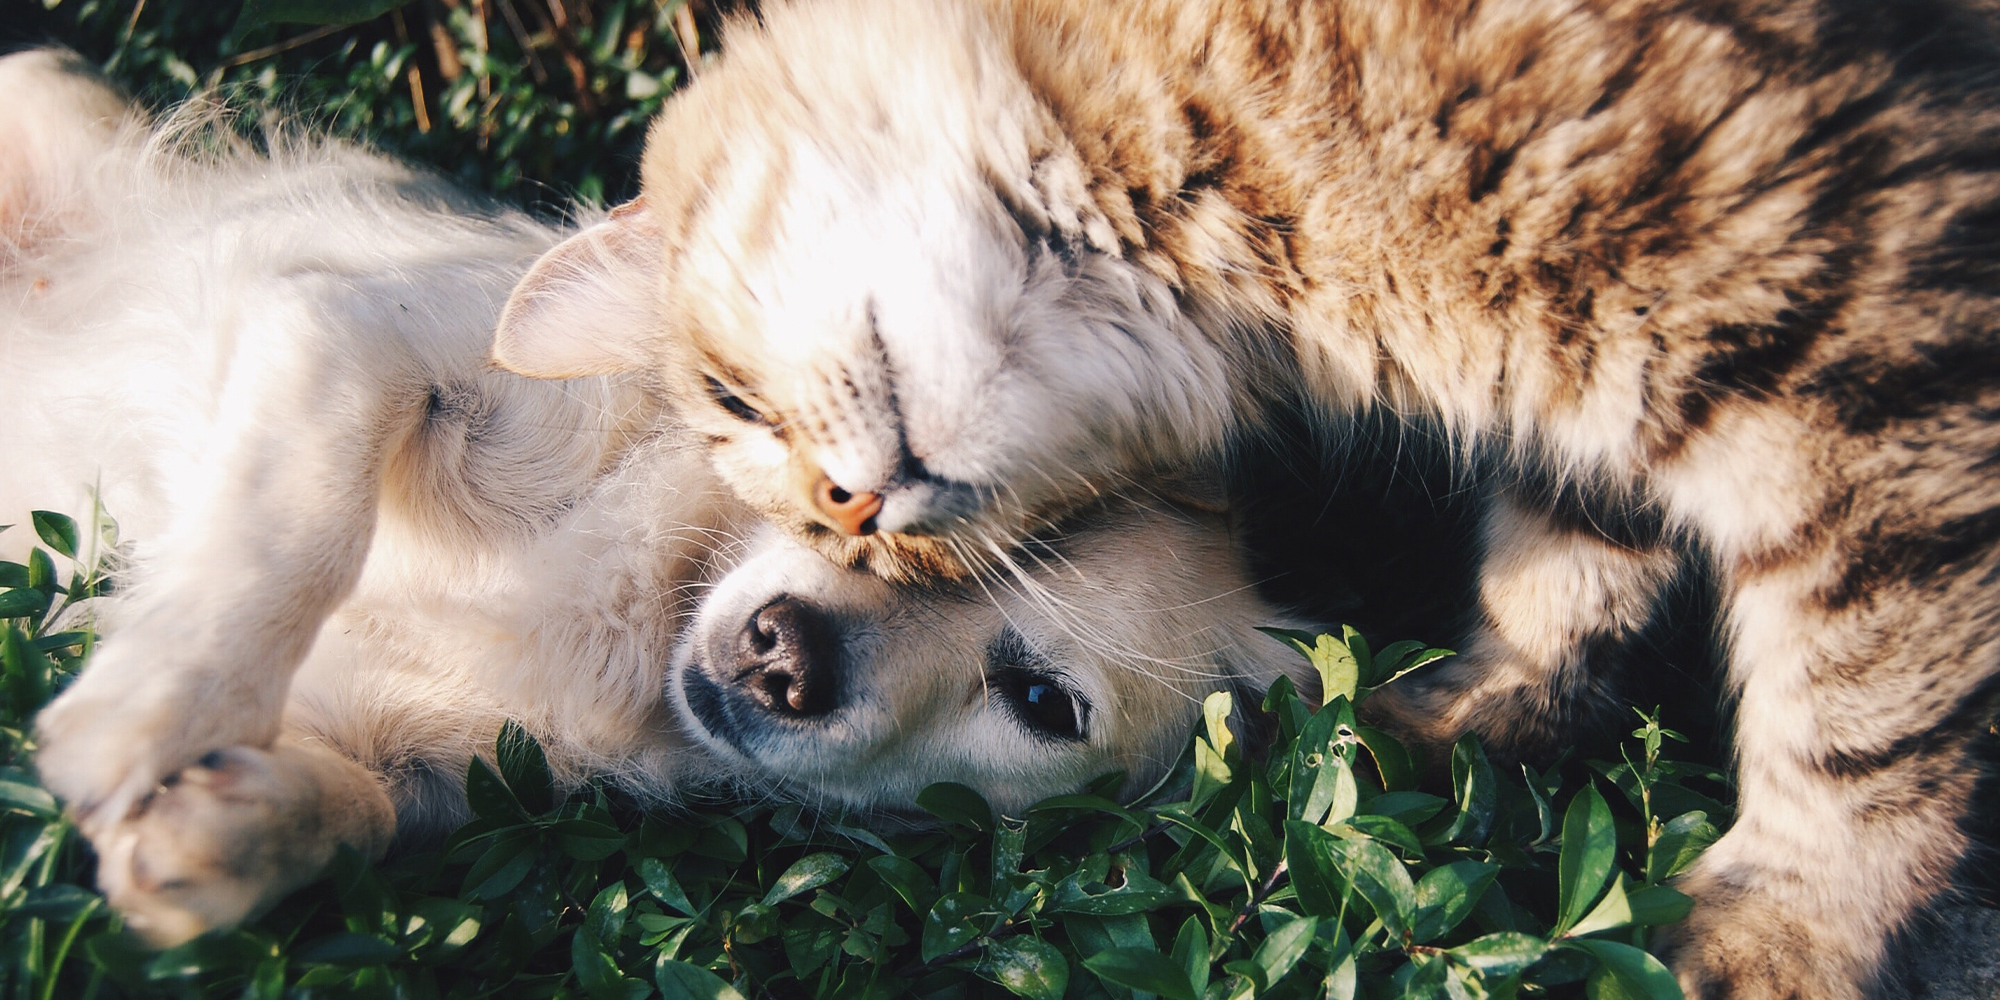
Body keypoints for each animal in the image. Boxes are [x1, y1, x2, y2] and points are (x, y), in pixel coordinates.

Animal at [492, 3, 2000, 996]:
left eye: (732, 404)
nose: (853, 514)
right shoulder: (1599, 394)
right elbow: (1565, 569)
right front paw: (1464, 718)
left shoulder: (1861, 344)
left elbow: (1859, 712)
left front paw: (1787, 933)